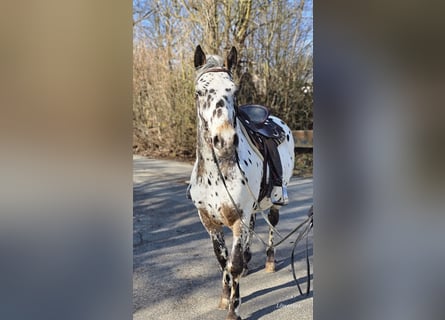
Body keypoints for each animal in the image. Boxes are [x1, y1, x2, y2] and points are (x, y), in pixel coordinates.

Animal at [187, 45, 294, 320]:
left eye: (233, 91)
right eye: (199, 92)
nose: (224, 140)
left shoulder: (238, 218)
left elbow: (232, 265)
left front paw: (234, 310)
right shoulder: (209, 222)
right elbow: (222, 261)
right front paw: (225, 297)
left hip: (272, 202)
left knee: (270, 224)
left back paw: (269, 261)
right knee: (252, 228)